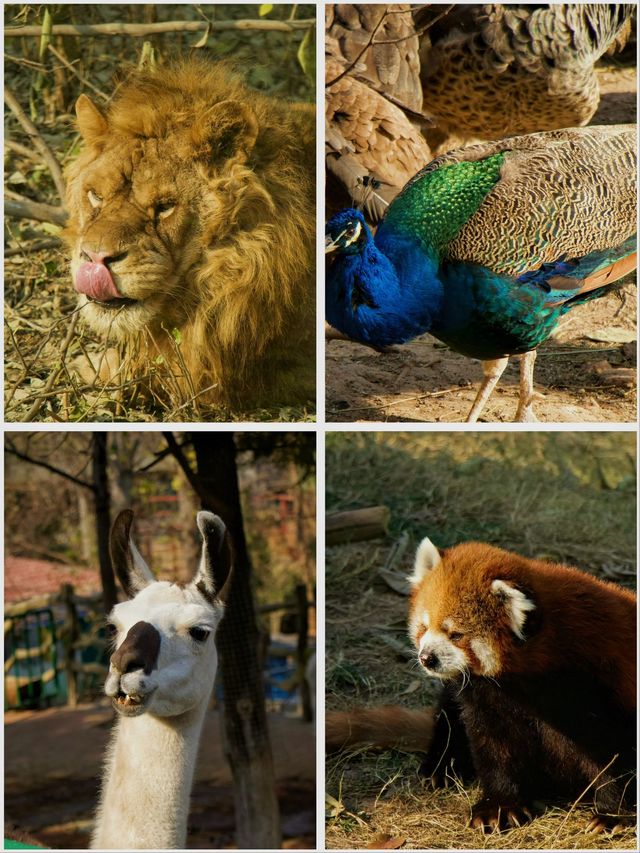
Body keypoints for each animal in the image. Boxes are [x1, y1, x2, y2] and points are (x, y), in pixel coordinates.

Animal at [408, 540, 636, 832]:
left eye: (456, 634)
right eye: (424, 627)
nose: (427, 657)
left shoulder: (597, 690)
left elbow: (614, 756)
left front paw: (613, 814)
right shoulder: (487, 695)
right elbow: (495, 747)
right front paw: (499, 806)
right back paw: (441, 768)